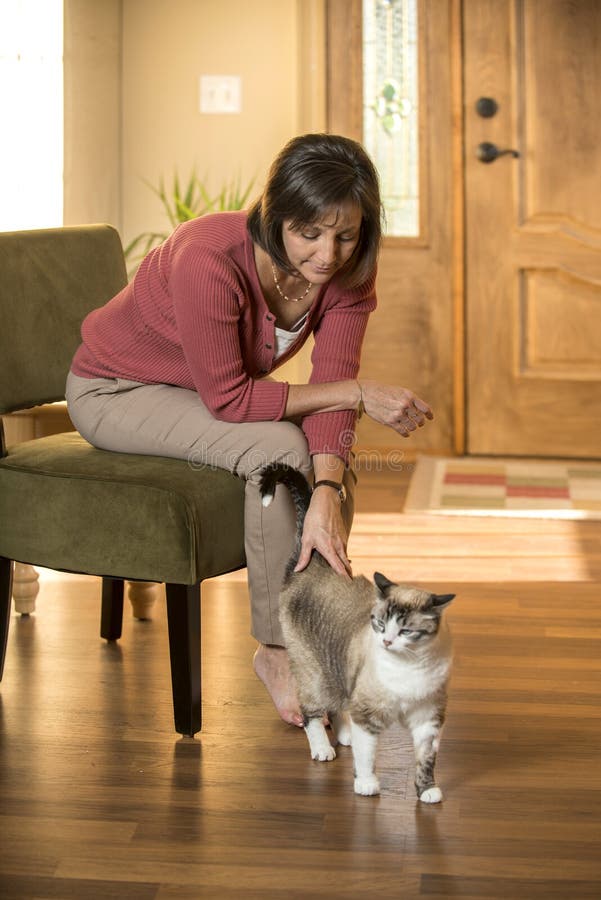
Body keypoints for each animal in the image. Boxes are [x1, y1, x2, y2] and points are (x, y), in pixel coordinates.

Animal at [258, 464, 454, 800]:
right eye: (380, 624)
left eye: (406, 631)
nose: (386, 641)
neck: (409, 667)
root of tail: (314, 561)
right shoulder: (368, 715)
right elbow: (367, 756)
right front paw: (366, 785)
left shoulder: (427, 720)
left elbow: (426, 760)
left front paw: (427, 792)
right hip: (313, 672)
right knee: (311, 711)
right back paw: (323, 749)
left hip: (334, 665)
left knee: (336, 703)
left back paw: (344, 736)